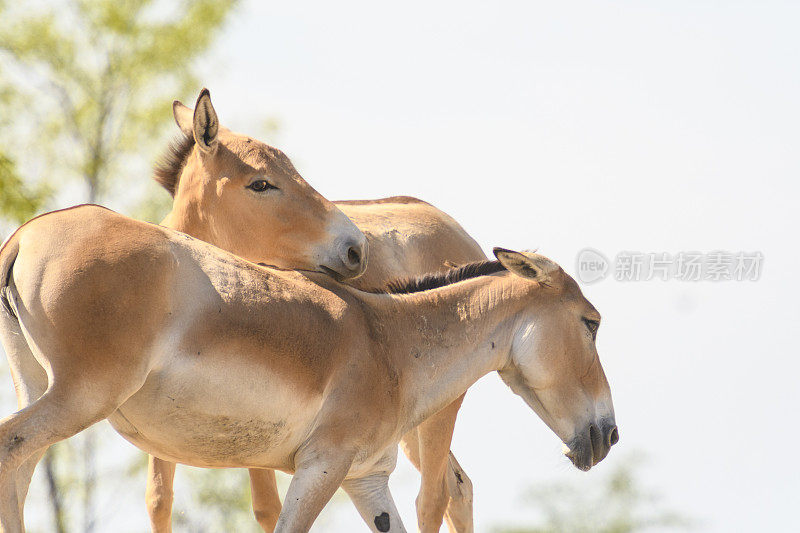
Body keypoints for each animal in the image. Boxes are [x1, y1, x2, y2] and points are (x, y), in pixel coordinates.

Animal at [0, 207, 620, 532]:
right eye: (590, 323)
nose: (609, 435)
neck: (392, 344)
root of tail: (26, 234)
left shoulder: (365, 478)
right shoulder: (323, 464)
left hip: (40, 386)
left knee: (19, 469)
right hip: (82, 394)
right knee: (10, 448)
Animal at [152, 89, 488, 528]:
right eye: (261, 183)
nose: (356, 248)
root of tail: (451, 225)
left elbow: (267, 508)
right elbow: (160, 500)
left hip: (440, 412)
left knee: (434, 498)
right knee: (458, 486)